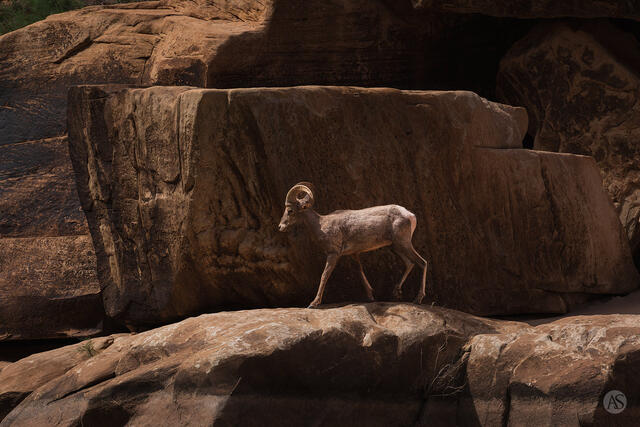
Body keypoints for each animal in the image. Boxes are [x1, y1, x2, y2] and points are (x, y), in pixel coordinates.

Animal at [278, 182, 428, 308]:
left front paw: (313, 304)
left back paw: (418, 299)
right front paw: (370, 297)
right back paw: (396, 293)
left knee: (422, 262)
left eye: (290, 211)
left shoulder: (333, 254)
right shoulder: (353, 254)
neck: (321, 224)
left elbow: (324, 276)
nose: (280, 227)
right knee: (409, 263)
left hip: (403, 244)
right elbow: (359, 272)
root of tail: (410, 215)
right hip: (396, 247)